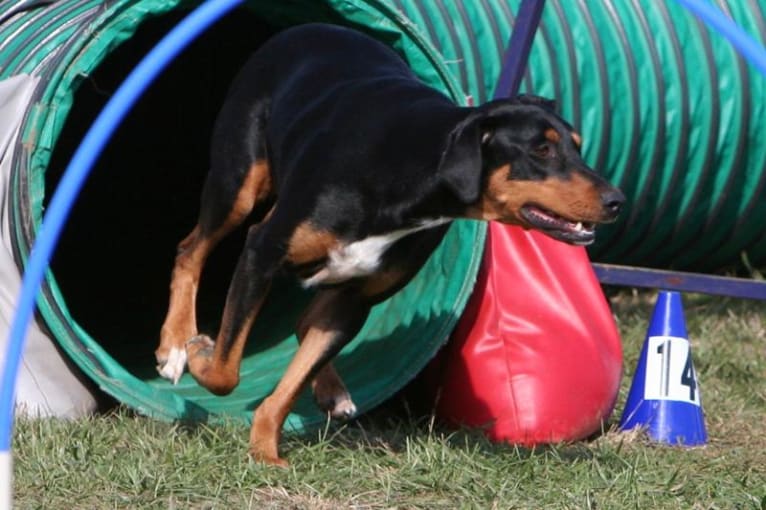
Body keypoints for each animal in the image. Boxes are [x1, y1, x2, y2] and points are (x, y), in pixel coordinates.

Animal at [154, 21, 624, 464]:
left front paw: (266, 453)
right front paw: (199, 350)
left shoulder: (354, 300)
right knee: (190, 250)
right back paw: (175, 343)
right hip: (238, 185)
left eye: (577, 147)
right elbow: (225, 371)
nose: (616, 200)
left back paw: (332, 391)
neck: (409, 170)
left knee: (304, 322)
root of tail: (304, 29)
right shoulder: (261, 252)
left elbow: (288, 386)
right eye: (541, 151)